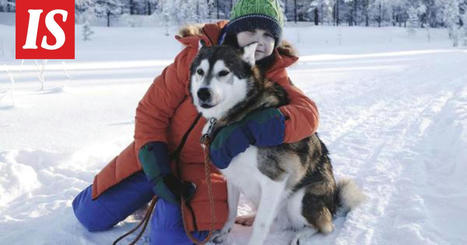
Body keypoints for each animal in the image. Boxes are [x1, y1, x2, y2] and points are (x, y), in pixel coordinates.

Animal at [189, 42, 366, 245]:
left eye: (224, 72)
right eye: (200, 71)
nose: (203, 93)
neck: (241, 112)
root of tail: (333, 204)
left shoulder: (275, 179)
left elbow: (261, 225)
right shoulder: (233, 176)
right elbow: (231, 210)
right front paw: (224, 233)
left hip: (298, 199)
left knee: (325, 227)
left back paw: (300, 235)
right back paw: (250, 217)